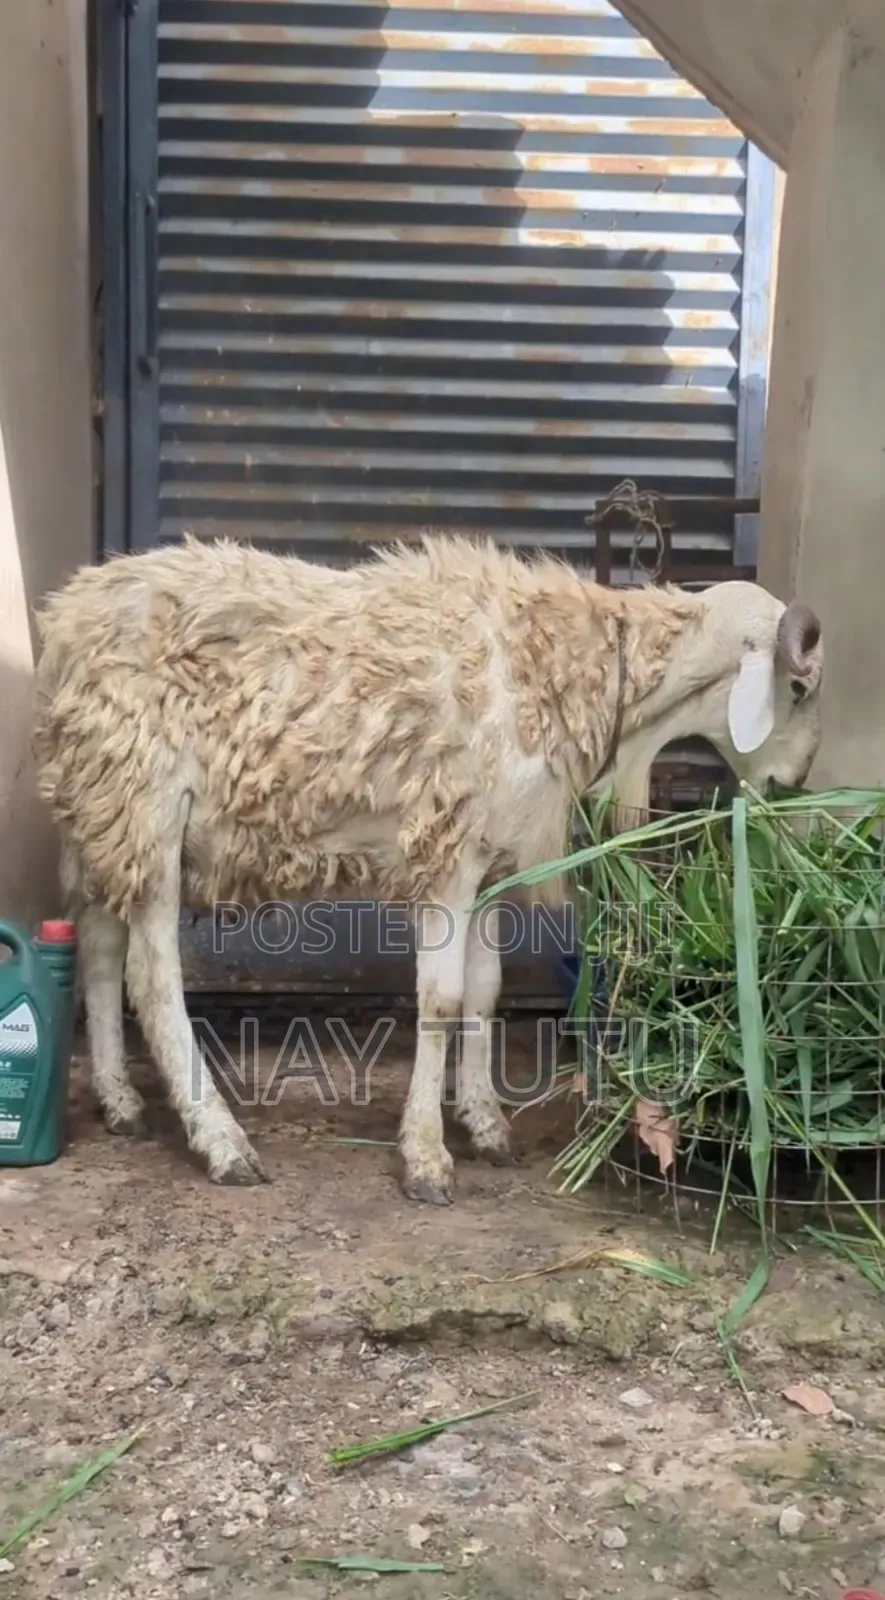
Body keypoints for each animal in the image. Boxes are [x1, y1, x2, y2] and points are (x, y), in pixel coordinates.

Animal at [31, 533, 824, 1203]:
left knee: (98, 944)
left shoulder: (492, 862)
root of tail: (67, 615)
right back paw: (220, 1140)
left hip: (102, 809)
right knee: (151, 976)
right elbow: (441, 1001)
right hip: (148, 799)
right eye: (798, 689)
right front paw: (425, 1157)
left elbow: (485, 991)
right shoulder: (448, 851)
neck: (576, 669)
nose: (795, 783)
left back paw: (120, 1101)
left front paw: (485, 1124)